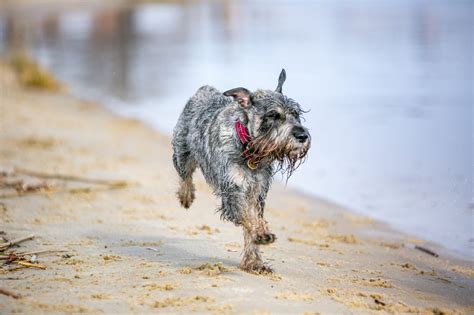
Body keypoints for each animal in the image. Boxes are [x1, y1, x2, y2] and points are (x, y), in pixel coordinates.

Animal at [172, 69, 310, 274]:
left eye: (296, 114)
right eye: (273, 115)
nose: (302, 135)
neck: (249, 150)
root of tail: (204, 90)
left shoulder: (257, 191)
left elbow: (256, 218)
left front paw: (255, 261)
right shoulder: (233, 191)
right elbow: (247, 217)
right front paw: (261, 236)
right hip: (182, 152)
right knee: (185, 174)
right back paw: (186, 195)